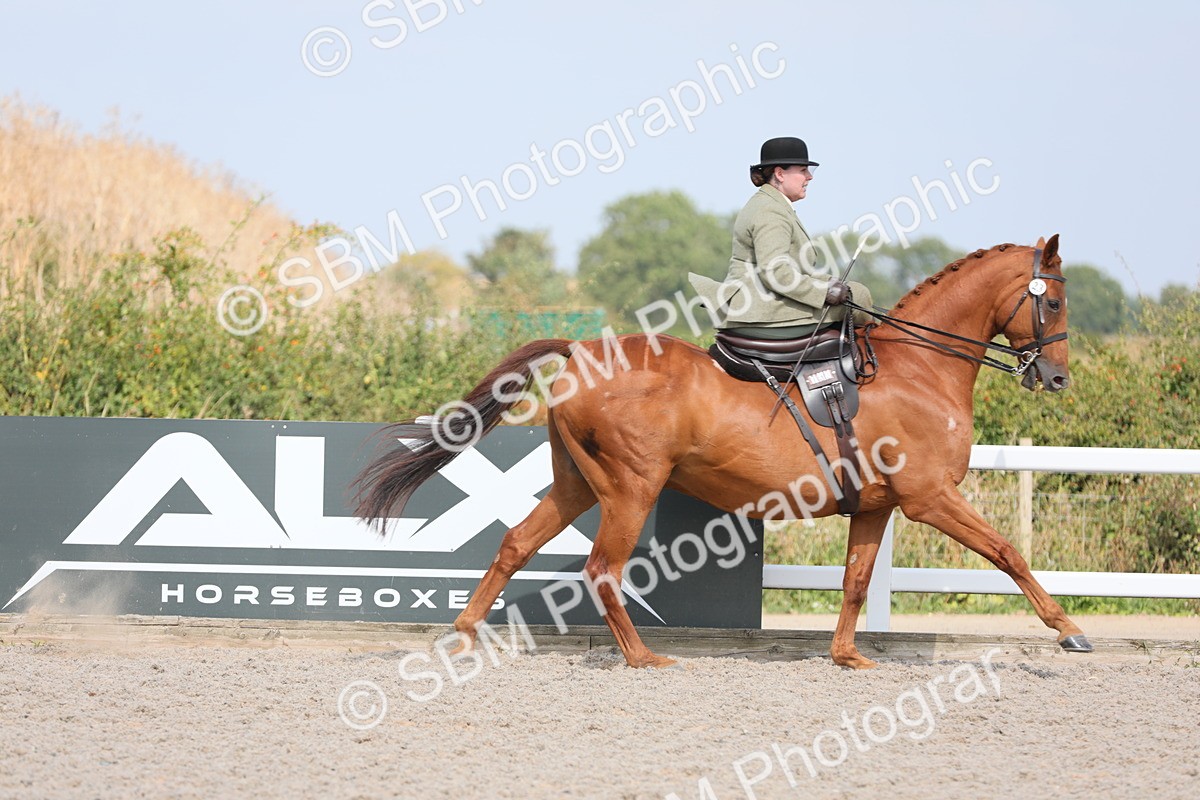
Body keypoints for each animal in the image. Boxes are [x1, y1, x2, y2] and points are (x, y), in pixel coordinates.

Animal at [355, 235, 1090, 669]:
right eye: (1053, 302)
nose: (1057, 379)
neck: (918, 369)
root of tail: (585, 350)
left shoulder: (876, 507)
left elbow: (855, 581)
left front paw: (847, 656)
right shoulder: (931, 496)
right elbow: (1007, 552)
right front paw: (1067, 628)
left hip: (577, 485)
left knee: (514, 544)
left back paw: (463, 635)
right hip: (630, 487)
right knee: (602, 569)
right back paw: (643, 658)